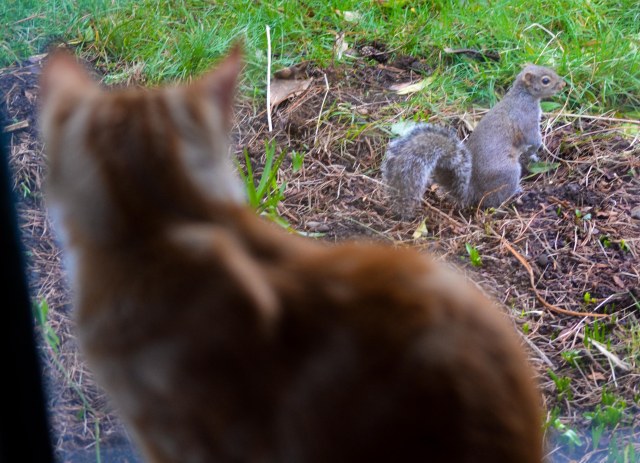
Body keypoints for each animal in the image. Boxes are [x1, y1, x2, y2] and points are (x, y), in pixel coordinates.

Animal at [382, 64, 565, 215]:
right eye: (545, 80)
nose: (563, 85)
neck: (523, 95)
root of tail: (473, 191)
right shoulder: (526, 119)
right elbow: (532, 138)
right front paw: (537, 150)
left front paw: (533, 156)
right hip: (509, 173)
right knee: (494, 201)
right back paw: (516, 192)